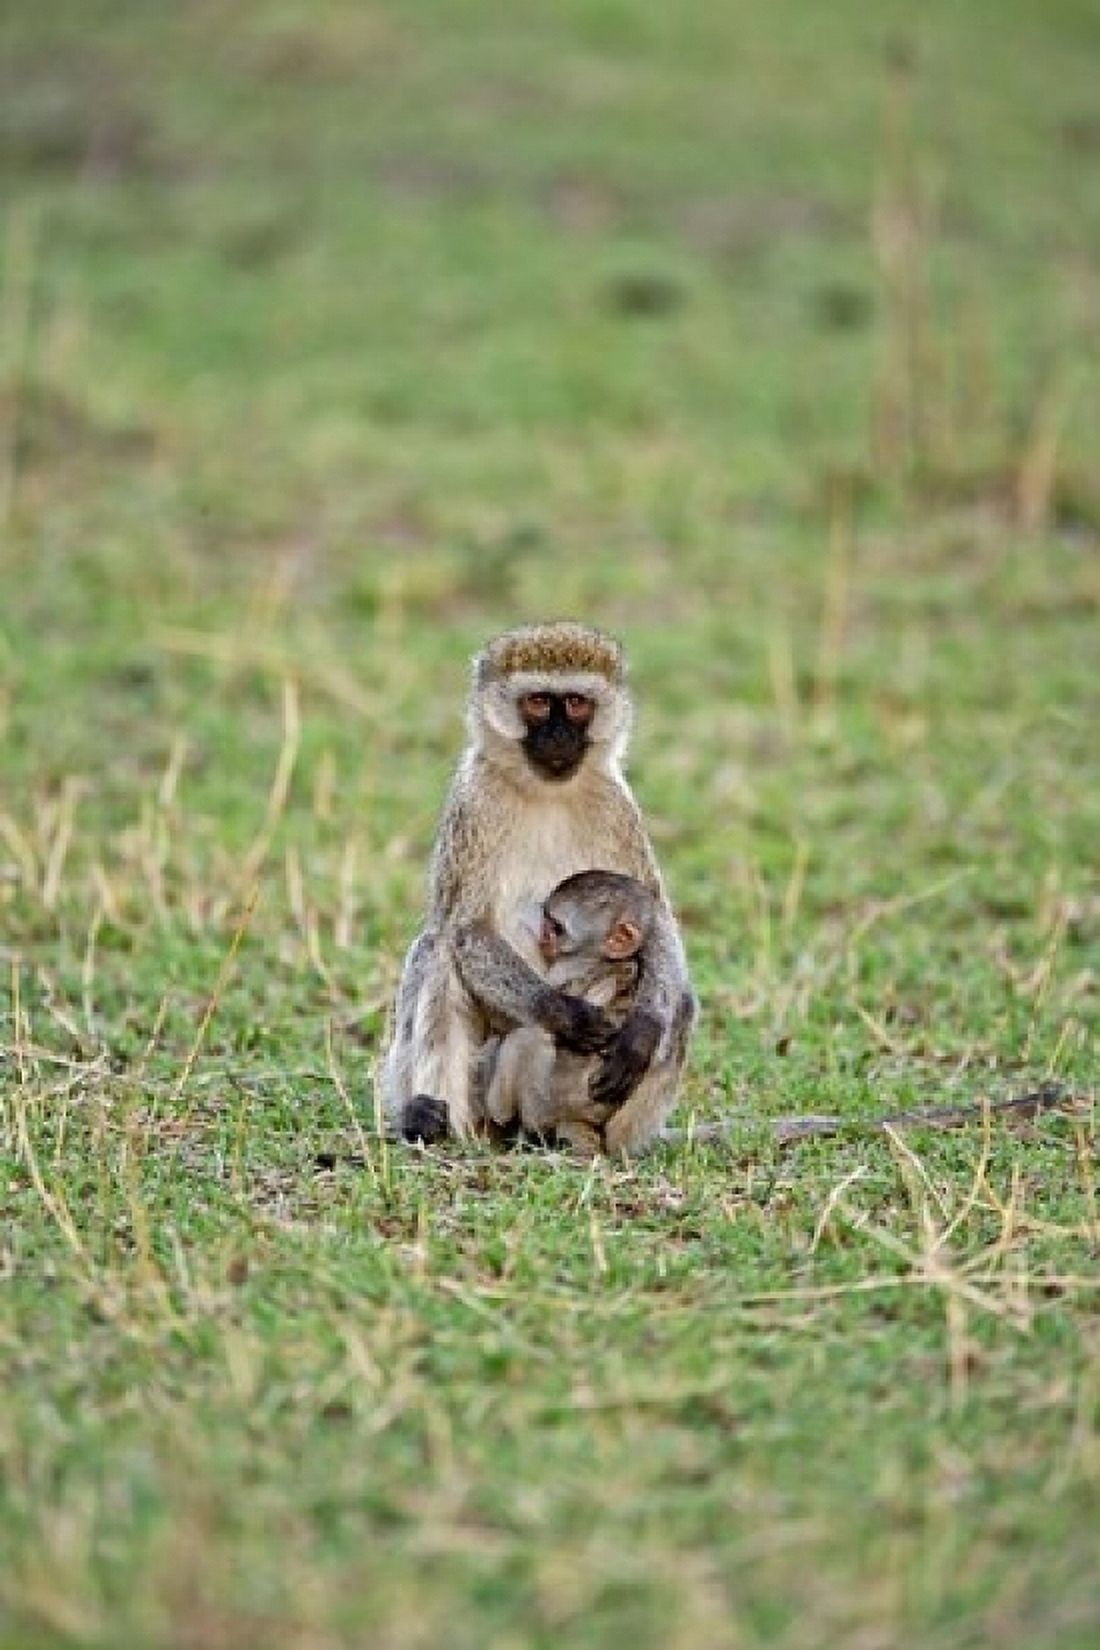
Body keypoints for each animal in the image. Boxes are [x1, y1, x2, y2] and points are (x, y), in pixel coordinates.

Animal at [475, 870, 660, 1155]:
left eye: (558, 928)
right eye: (547, 922)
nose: (544, 937)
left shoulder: (570, 965)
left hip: (548, 1103)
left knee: (530, 1036)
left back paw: (505, 1118)